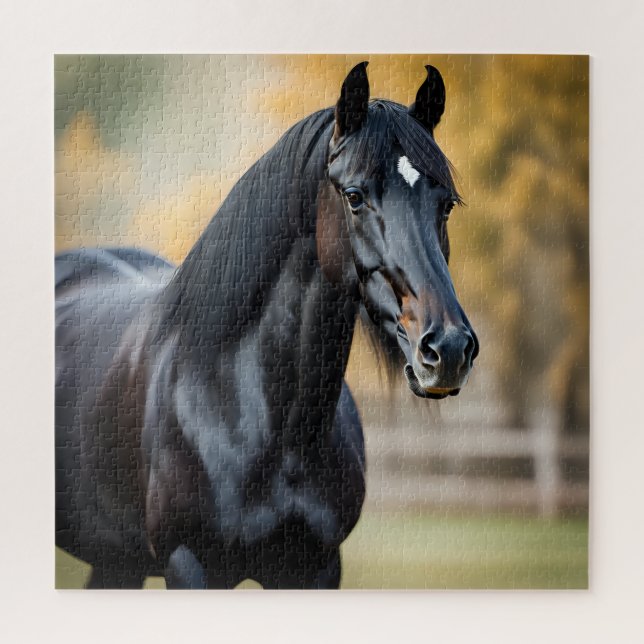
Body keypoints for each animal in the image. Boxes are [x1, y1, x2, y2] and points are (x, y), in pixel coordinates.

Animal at [55, 62, 478, 589]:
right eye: (354, 196)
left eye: (446, 203)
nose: (449, 349)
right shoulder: (189, 564)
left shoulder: (316, 568)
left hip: (116, 560)